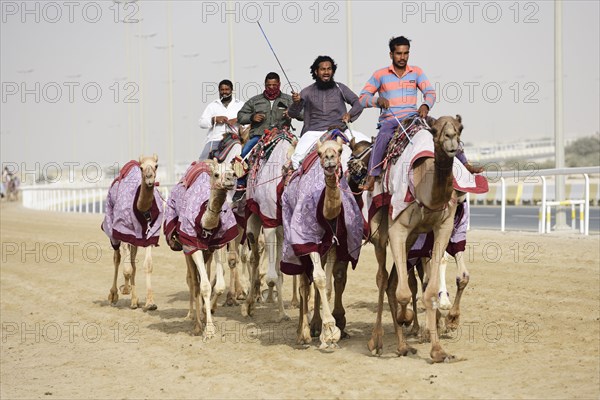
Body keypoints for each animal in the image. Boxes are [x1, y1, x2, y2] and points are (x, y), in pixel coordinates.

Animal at [103, 155, 163, 310]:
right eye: (141, 167)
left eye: (156, 165)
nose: (149, 179)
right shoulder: (123, 231)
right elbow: (127, 269)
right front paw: (124, 289)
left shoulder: (149, 236)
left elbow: (147, 266)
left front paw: (150, 302)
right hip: (113, 233)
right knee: (117, 258)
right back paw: (113, 295)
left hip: (135, 241)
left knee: (132, 262)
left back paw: (135, 300)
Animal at [366, 115, 464, 362]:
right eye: (435, 130)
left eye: (460, 128)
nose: (451, 139)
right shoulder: (398, 228)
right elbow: (403, 293)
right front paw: (407, 318)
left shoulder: (442, 228)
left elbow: (429, 290)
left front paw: (438, 350)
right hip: (380, 230)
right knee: (383, 278)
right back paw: (376, 341)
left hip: (412, 238)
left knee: (393, 282)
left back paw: (402, 346)